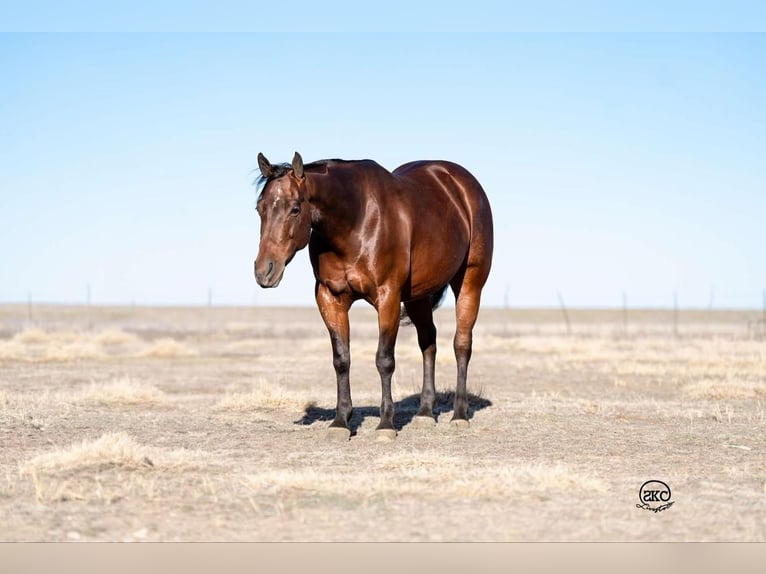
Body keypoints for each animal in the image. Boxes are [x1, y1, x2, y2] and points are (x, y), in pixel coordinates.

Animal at [255, 152, 496, 440]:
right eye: (259, 208)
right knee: (428, 342)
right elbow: (341, 359)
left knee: (462, 345)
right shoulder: (329, 297)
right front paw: (340, 421)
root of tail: (462, 183)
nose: (264, 271)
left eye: (294, 209)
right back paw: (425, 413)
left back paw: (459, 415)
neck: (356, 221)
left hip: (469, 283)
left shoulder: (388, 296)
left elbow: (384, 360)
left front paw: (386, 424)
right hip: (416, 297)